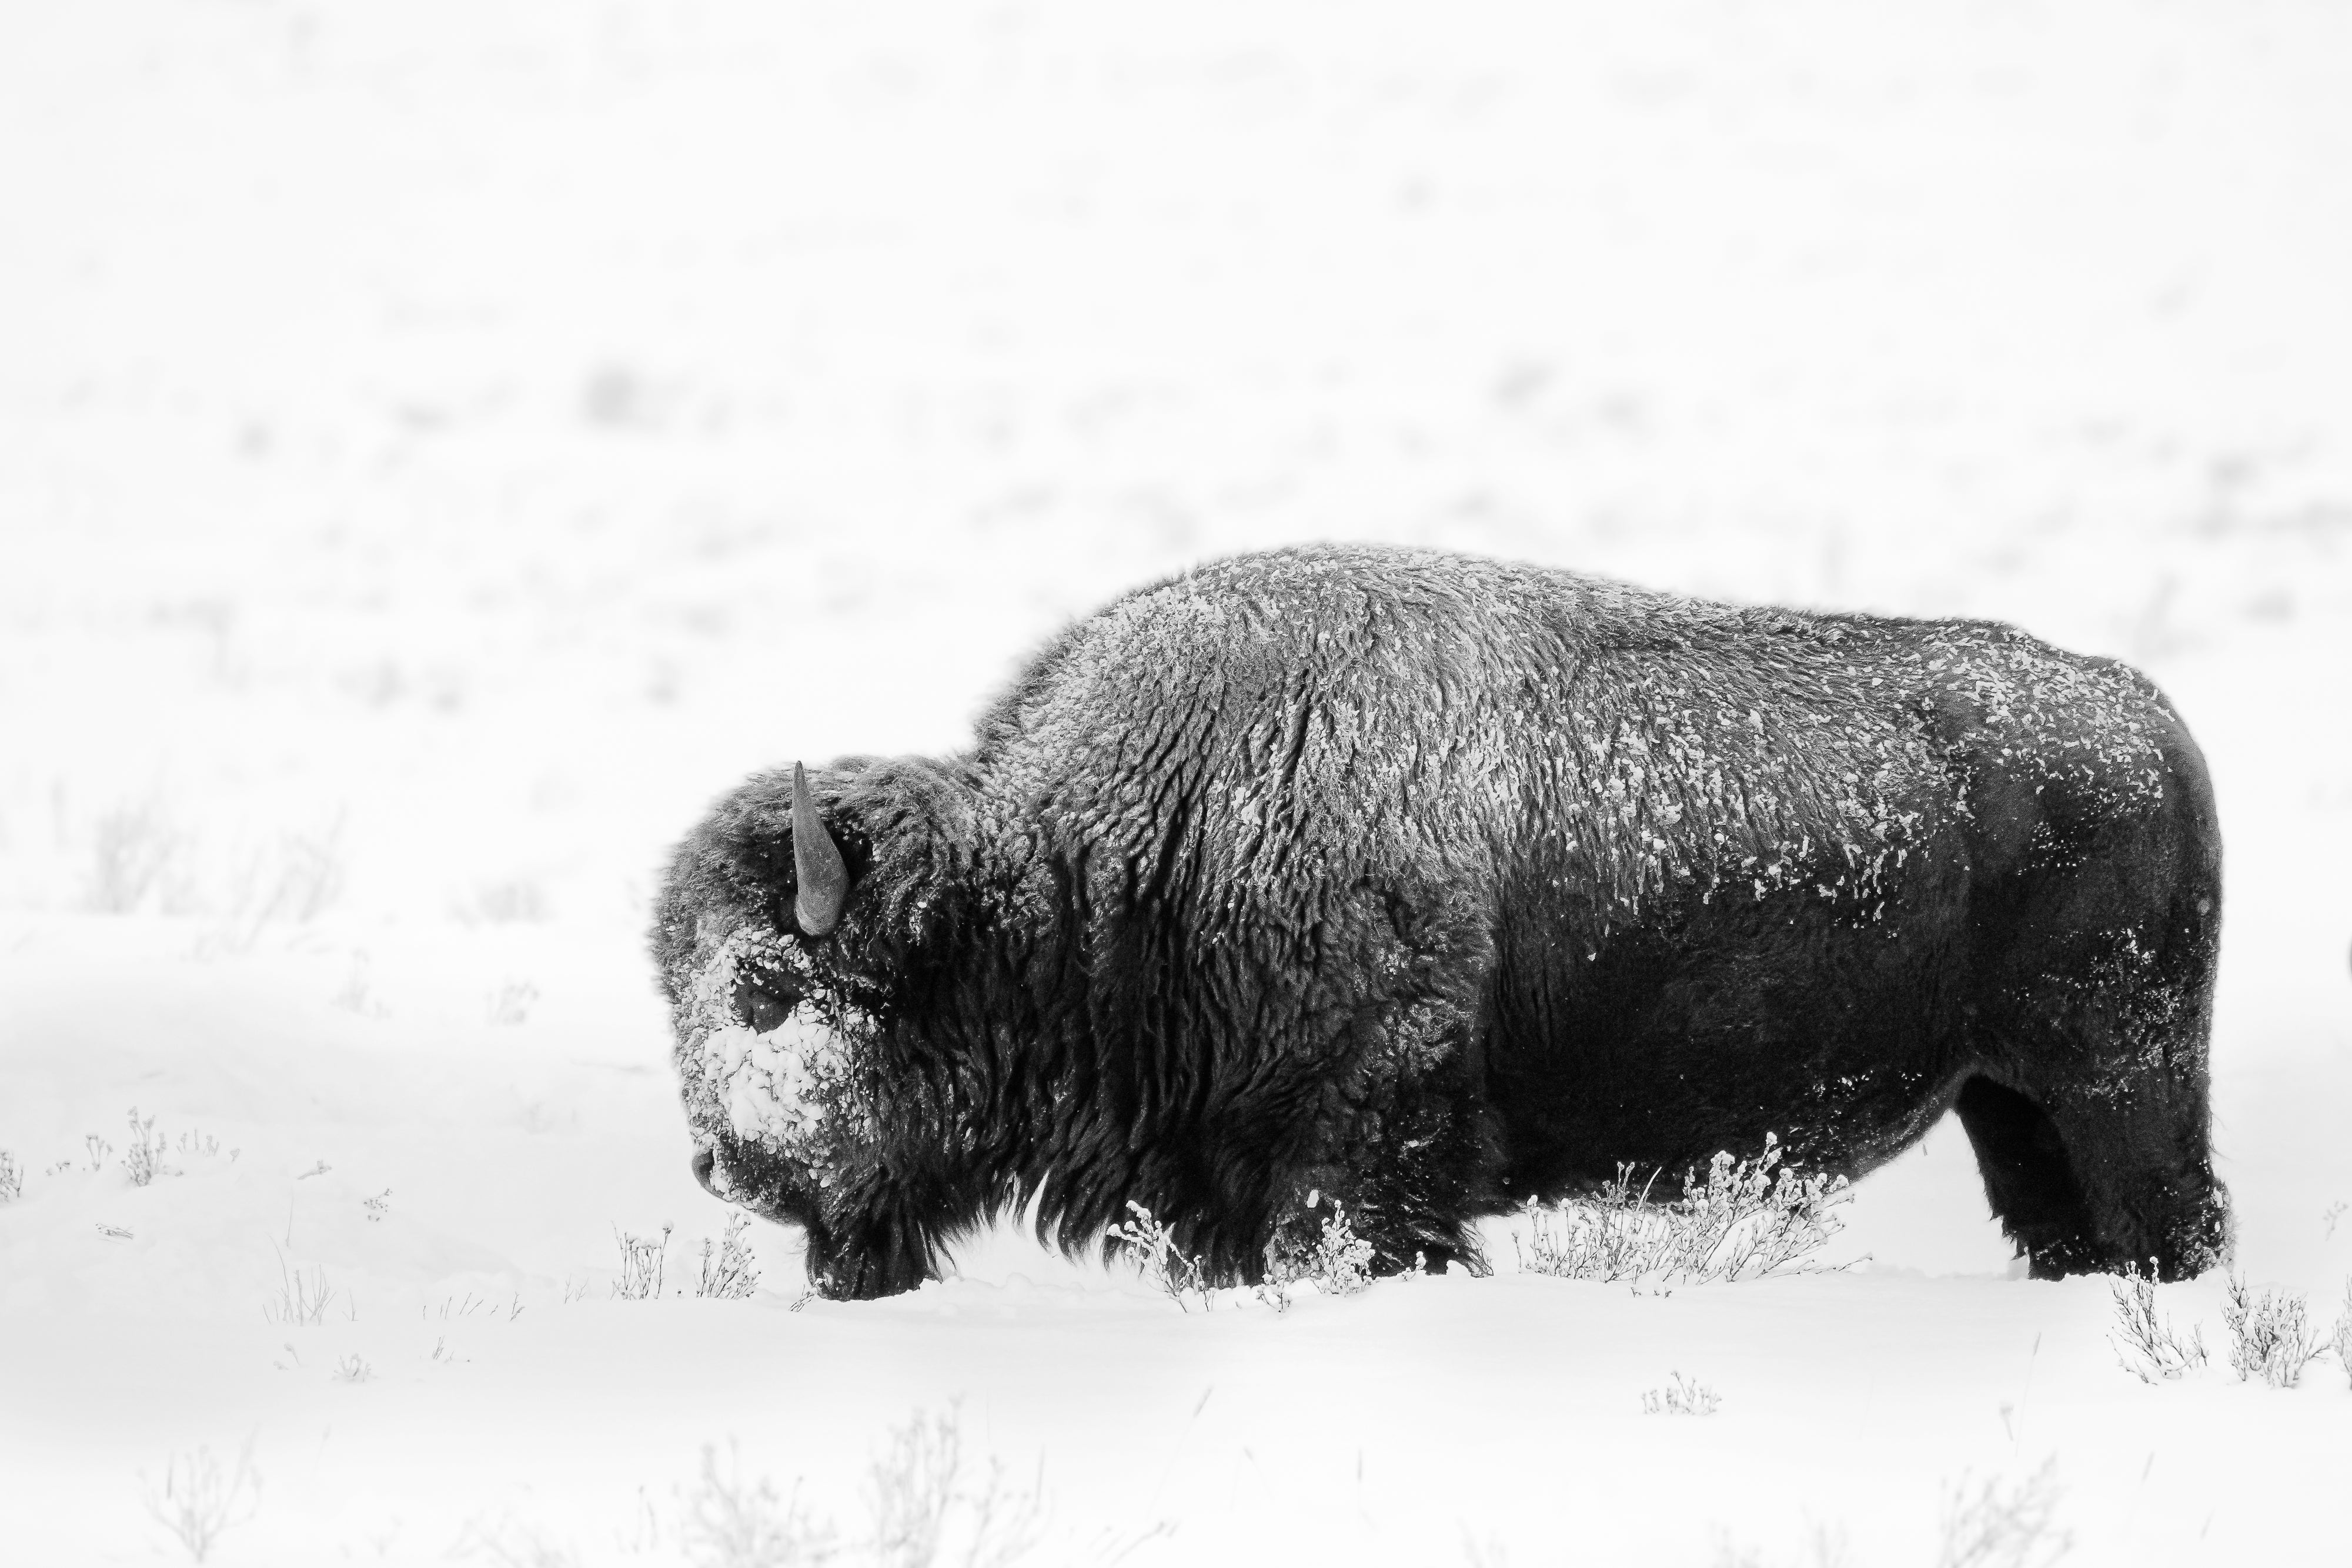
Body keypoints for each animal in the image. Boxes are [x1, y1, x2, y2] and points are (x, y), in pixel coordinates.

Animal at [651, 544, 2227, 1300]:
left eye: (767, 991)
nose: (719, 1168)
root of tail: (2146, 718)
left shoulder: (1356, 1161)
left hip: (2121, 1081)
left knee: (2172, 1223)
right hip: (2007, 1106)